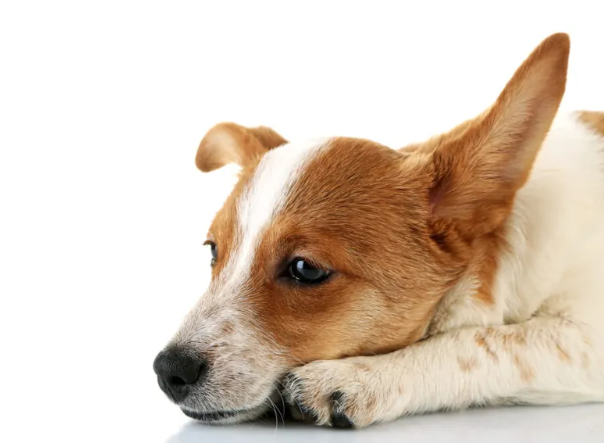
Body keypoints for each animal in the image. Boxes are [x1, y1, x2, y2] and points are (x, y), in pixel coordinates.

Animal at [153, 31, 604, 428]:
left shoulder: (585, 339)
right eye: (213, 251)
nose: (167, 370)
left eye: (305, 269)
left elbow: (484, 343)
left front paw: (360, 376)